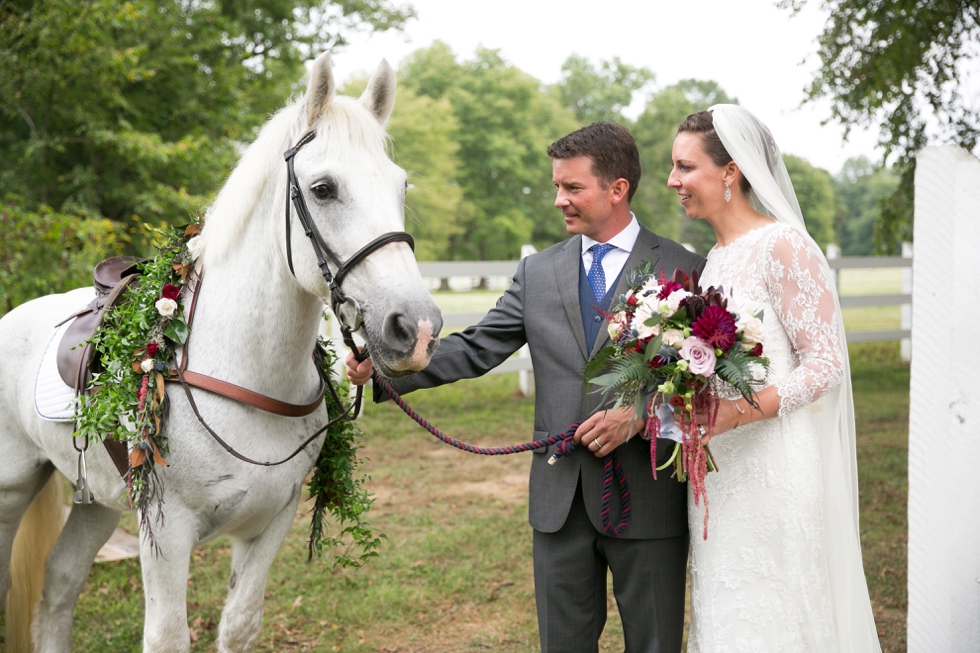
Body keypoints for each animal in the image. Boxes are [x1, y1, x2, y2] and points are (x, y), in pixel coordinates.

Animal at [0, 53, 442, 648]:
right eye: (324, 188)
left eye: (401, 187)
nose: (417, 329)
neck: (244, 373)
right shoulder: (165, 535)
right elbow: (168, 636)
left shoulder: (269, 525)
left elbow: (239, 626)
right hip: (12, 491)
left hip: (97, 503)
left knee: (59, 583)